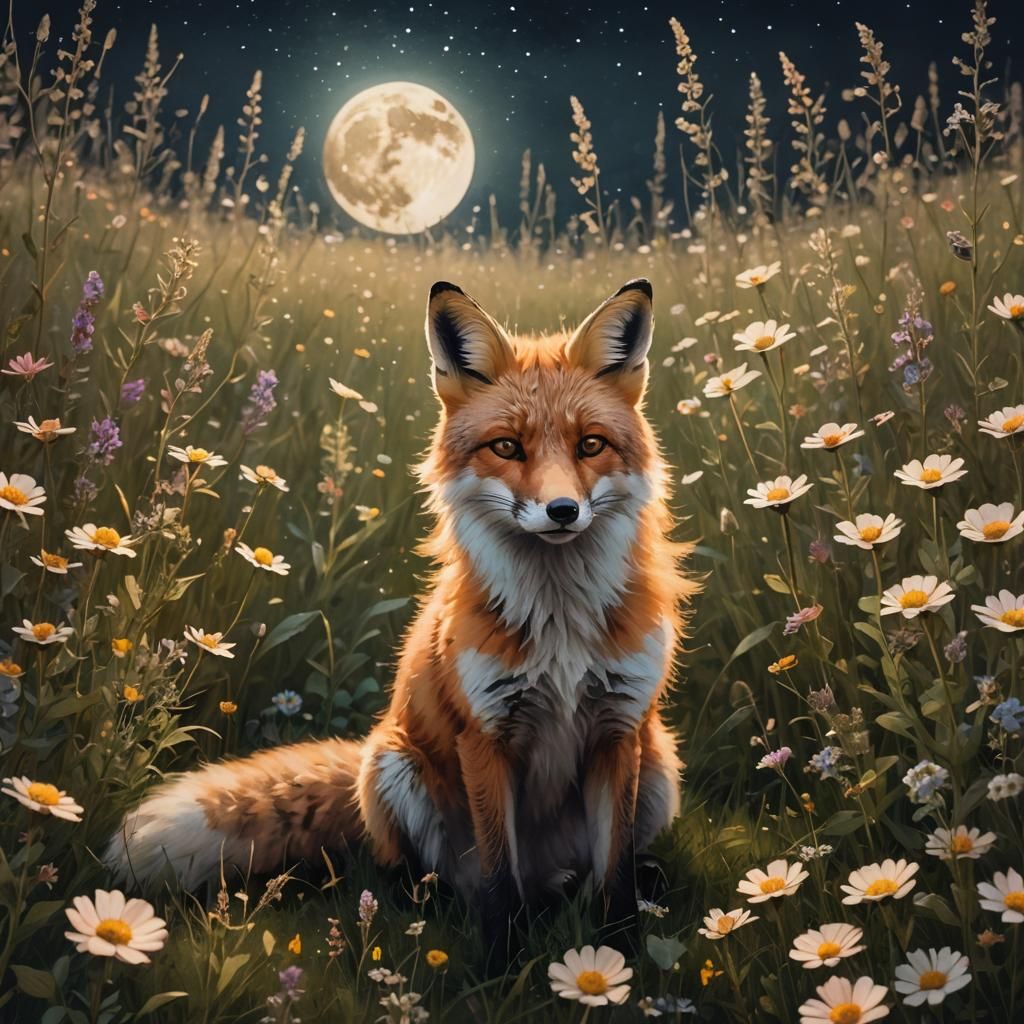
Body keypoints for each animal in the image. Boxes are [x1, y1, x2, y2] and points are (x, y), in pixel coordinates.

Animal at [105, 277, 696, 951]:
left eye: (590, 445)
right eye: (507, 447)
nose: (563, 510)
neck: (559, 625)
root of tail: (550, 874)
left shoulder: (618, 728)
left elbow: (615, 875)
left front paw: (618, 950)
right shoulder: (484, 736)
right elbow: (499, 879)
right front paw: (502, 958)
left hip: (659, 764)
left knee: (593, 870)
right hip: (393, 767)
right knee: (429, 875)